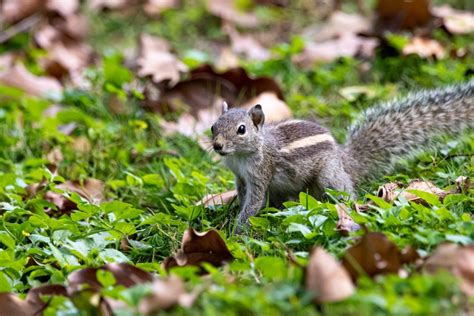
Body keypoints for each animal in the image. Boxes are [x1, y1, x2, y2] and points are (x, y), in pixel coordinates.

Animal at [211, 80, 474, 228]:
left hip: (328, 177)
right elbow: (244, 197)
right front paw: (230, 216)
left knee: (347, 193)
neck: (242, 155)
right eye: (213, 126)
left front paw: (236, 231)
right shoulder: (240, 177)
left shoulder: (261, 173)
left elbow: (253, 203)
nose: (217, 146)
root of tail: (345, 161)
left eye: (241, 129)